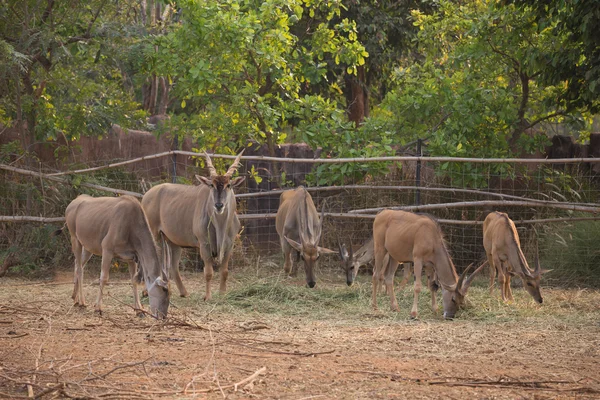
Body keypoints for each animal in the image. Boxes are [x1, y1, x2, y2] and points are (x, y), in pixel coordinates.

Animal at [142, 150, 245, 300]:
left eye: (228, 185)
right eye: (212, 185)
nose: (218, 205)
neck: (220, 226)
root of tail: (146, 196)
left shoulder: (229, 246)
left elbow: (224, 271)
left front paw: (222, 294)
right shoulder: (204, 245)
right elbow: (208, 272)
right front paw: (207, 297)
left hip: (173, 241)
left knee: (172, 266)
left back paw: (181, 292)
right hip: (155, 235)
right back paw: (148, 291)